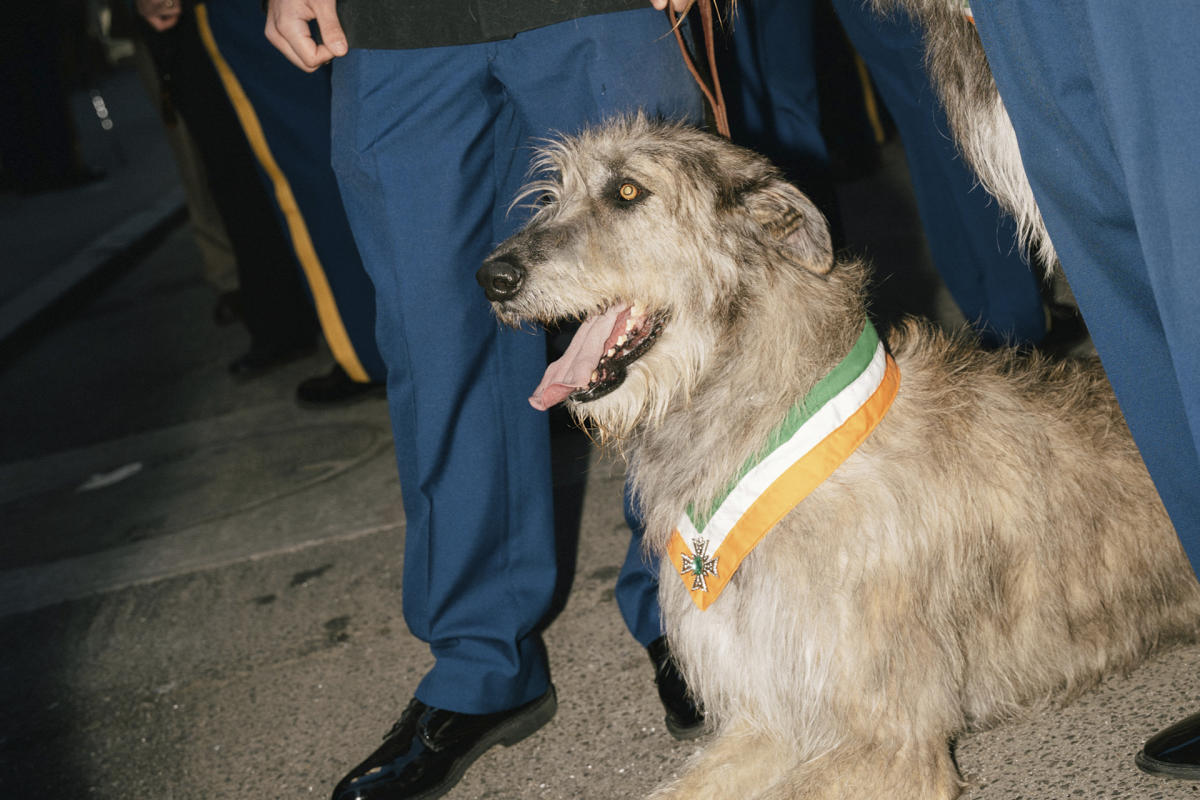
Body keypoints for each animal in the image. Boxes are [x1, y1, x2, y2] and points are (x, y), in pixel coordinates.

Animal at [477, 115, 1200, 796]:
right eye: (553, 193)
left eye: (627, 191)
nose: (492, 277)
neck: (761, 424)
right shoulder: (769, 715)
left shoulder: (895, 744)